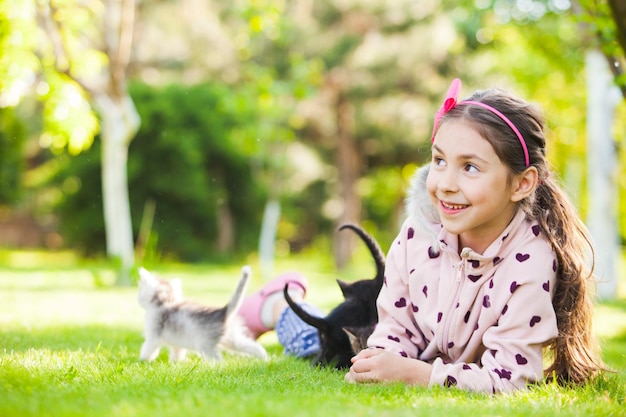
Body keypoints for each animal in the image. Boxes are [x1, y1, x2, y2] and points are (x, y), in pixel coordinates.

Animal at [138, 266, 266, 360]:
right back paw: (264, 359)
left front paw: (142, 361)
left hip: (205, 346)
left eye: (140, 291)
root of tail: (222, 312)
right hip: (232, 340)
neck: (164, 302)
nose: (137, 299)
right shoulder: (177, 343)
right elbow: (177, 354)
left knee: (218, 360)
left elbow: (147, 349)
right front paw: (174, 364)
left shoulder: (153, 337)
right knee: (254, 346)